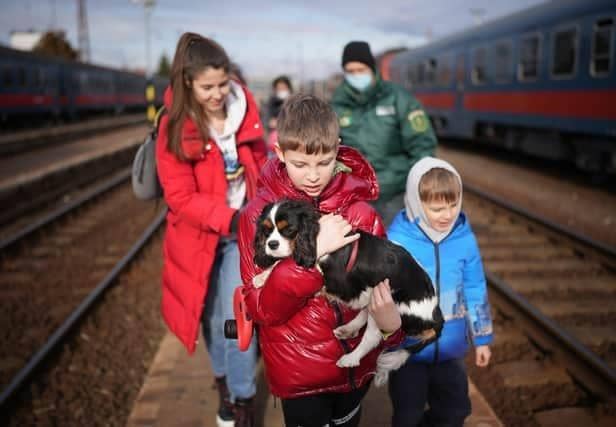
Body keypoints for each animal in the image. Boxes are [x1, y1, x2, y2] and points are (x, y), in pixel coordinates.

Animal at [254, 200, 442, 384]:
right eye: (266, 230)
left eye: (289, 229)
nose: (271, 244)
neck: (316, 233)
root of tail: (435, 314)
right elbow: (282, 263)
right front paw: (262, 277)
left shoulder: (335, 280)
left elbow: (286, 262)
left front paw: (264, 275)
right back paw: (348, 329)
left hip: (391, 304)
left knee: (372, 337)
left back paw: (350, 358)